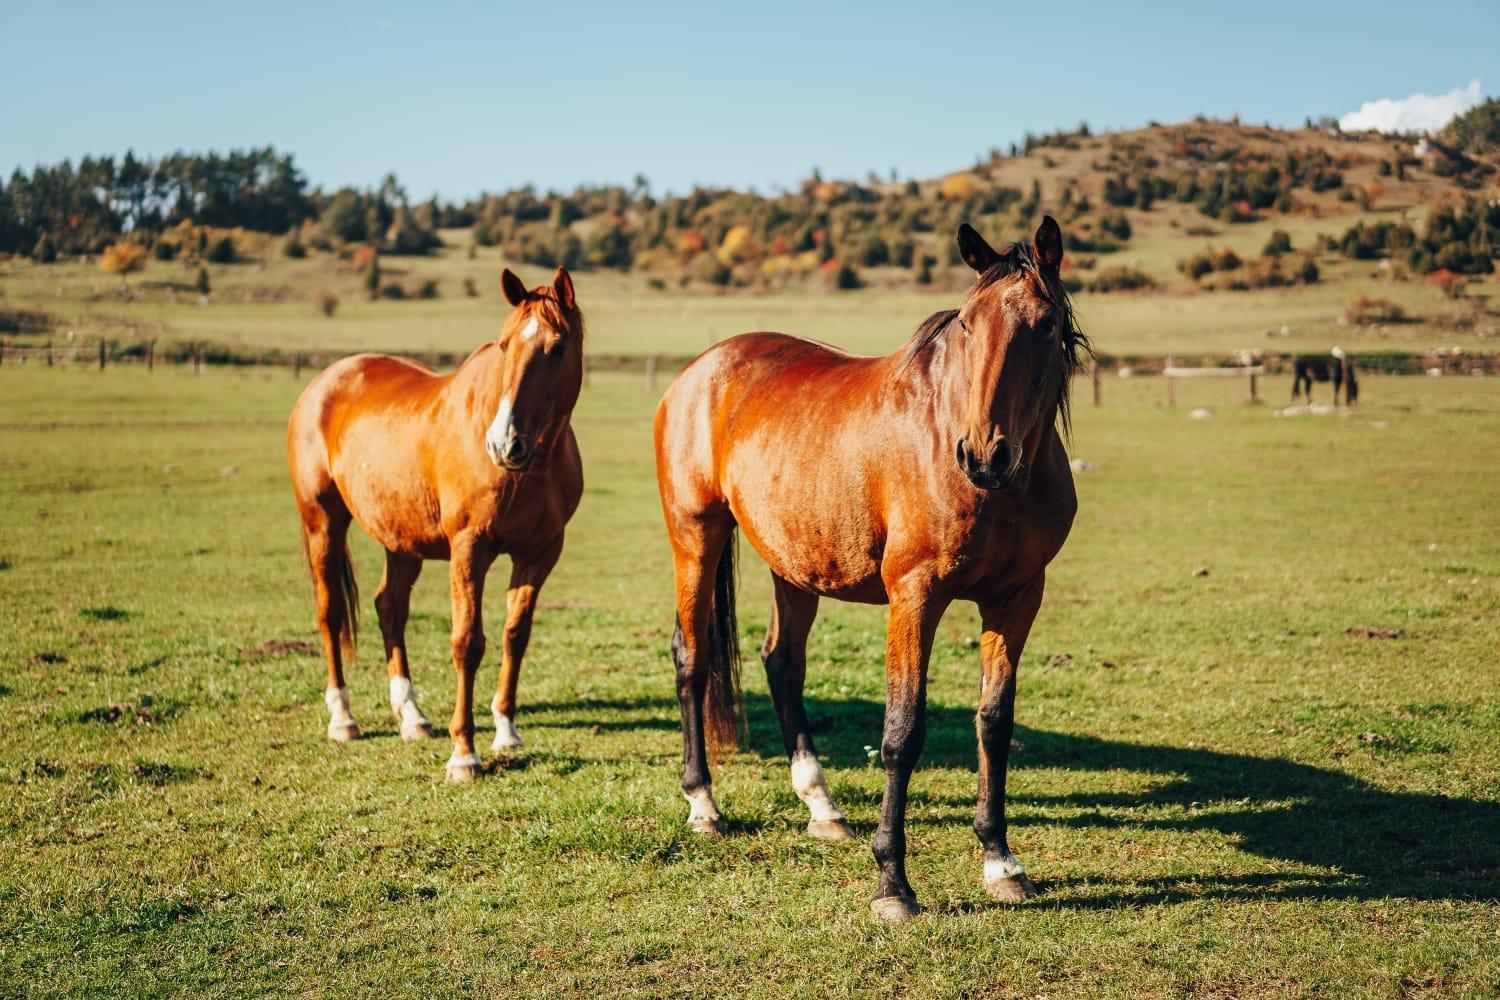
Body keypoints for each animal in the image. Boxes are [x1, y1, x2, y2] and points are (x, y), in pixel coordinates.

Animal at [286, 269, 585, 785]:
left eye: (558, 347)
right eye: (504, 345)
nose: (504, 442)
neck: (532, 468)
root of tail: (322, 384)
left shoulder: (540, 552)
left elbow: (515, 635)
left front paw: (506, 731)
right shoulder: (469, 549)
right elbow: (467, 642)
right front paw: (464, 753)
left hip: (401, 540)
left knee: (390, 607)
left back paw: (411, 715)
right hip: (324, 523)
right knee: (330, 612)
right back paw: (343, 717)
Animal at [657, 217, 1092, 923]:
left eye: (1046, 323)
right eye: (966, 323)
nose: (984, 454)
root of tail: (701, 370)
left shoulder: (1018, 598)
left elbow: (994, 722)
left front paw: (1001, 860)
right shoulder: (915, 596)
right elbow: (902, 732)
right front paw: (893, 883)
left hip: (793, 563)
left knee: (782, 661)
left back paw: (822, 806)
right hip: (696, 537)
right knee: (692, 658)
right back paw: (703, 804)